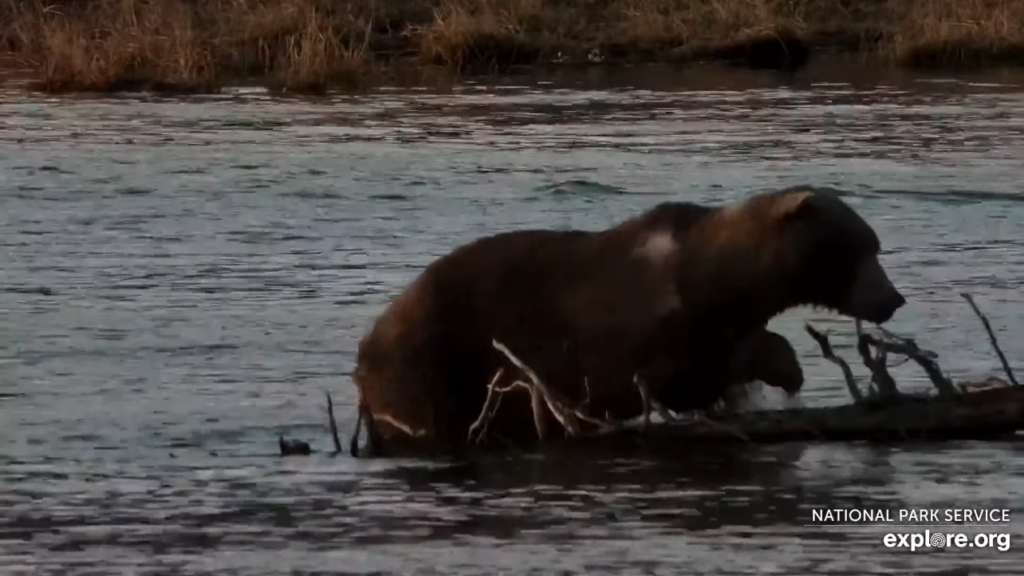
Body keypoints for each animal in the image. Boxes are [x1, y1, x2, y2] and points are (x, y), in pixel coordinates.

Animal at [352, 186, 905, 455]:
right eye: (861, 247)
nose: (894, 298)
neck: (718, 276)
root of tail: (365, 347)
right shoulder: (636, 322)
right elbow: (668, 377)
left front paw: (784, 368)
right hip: (427, 356)